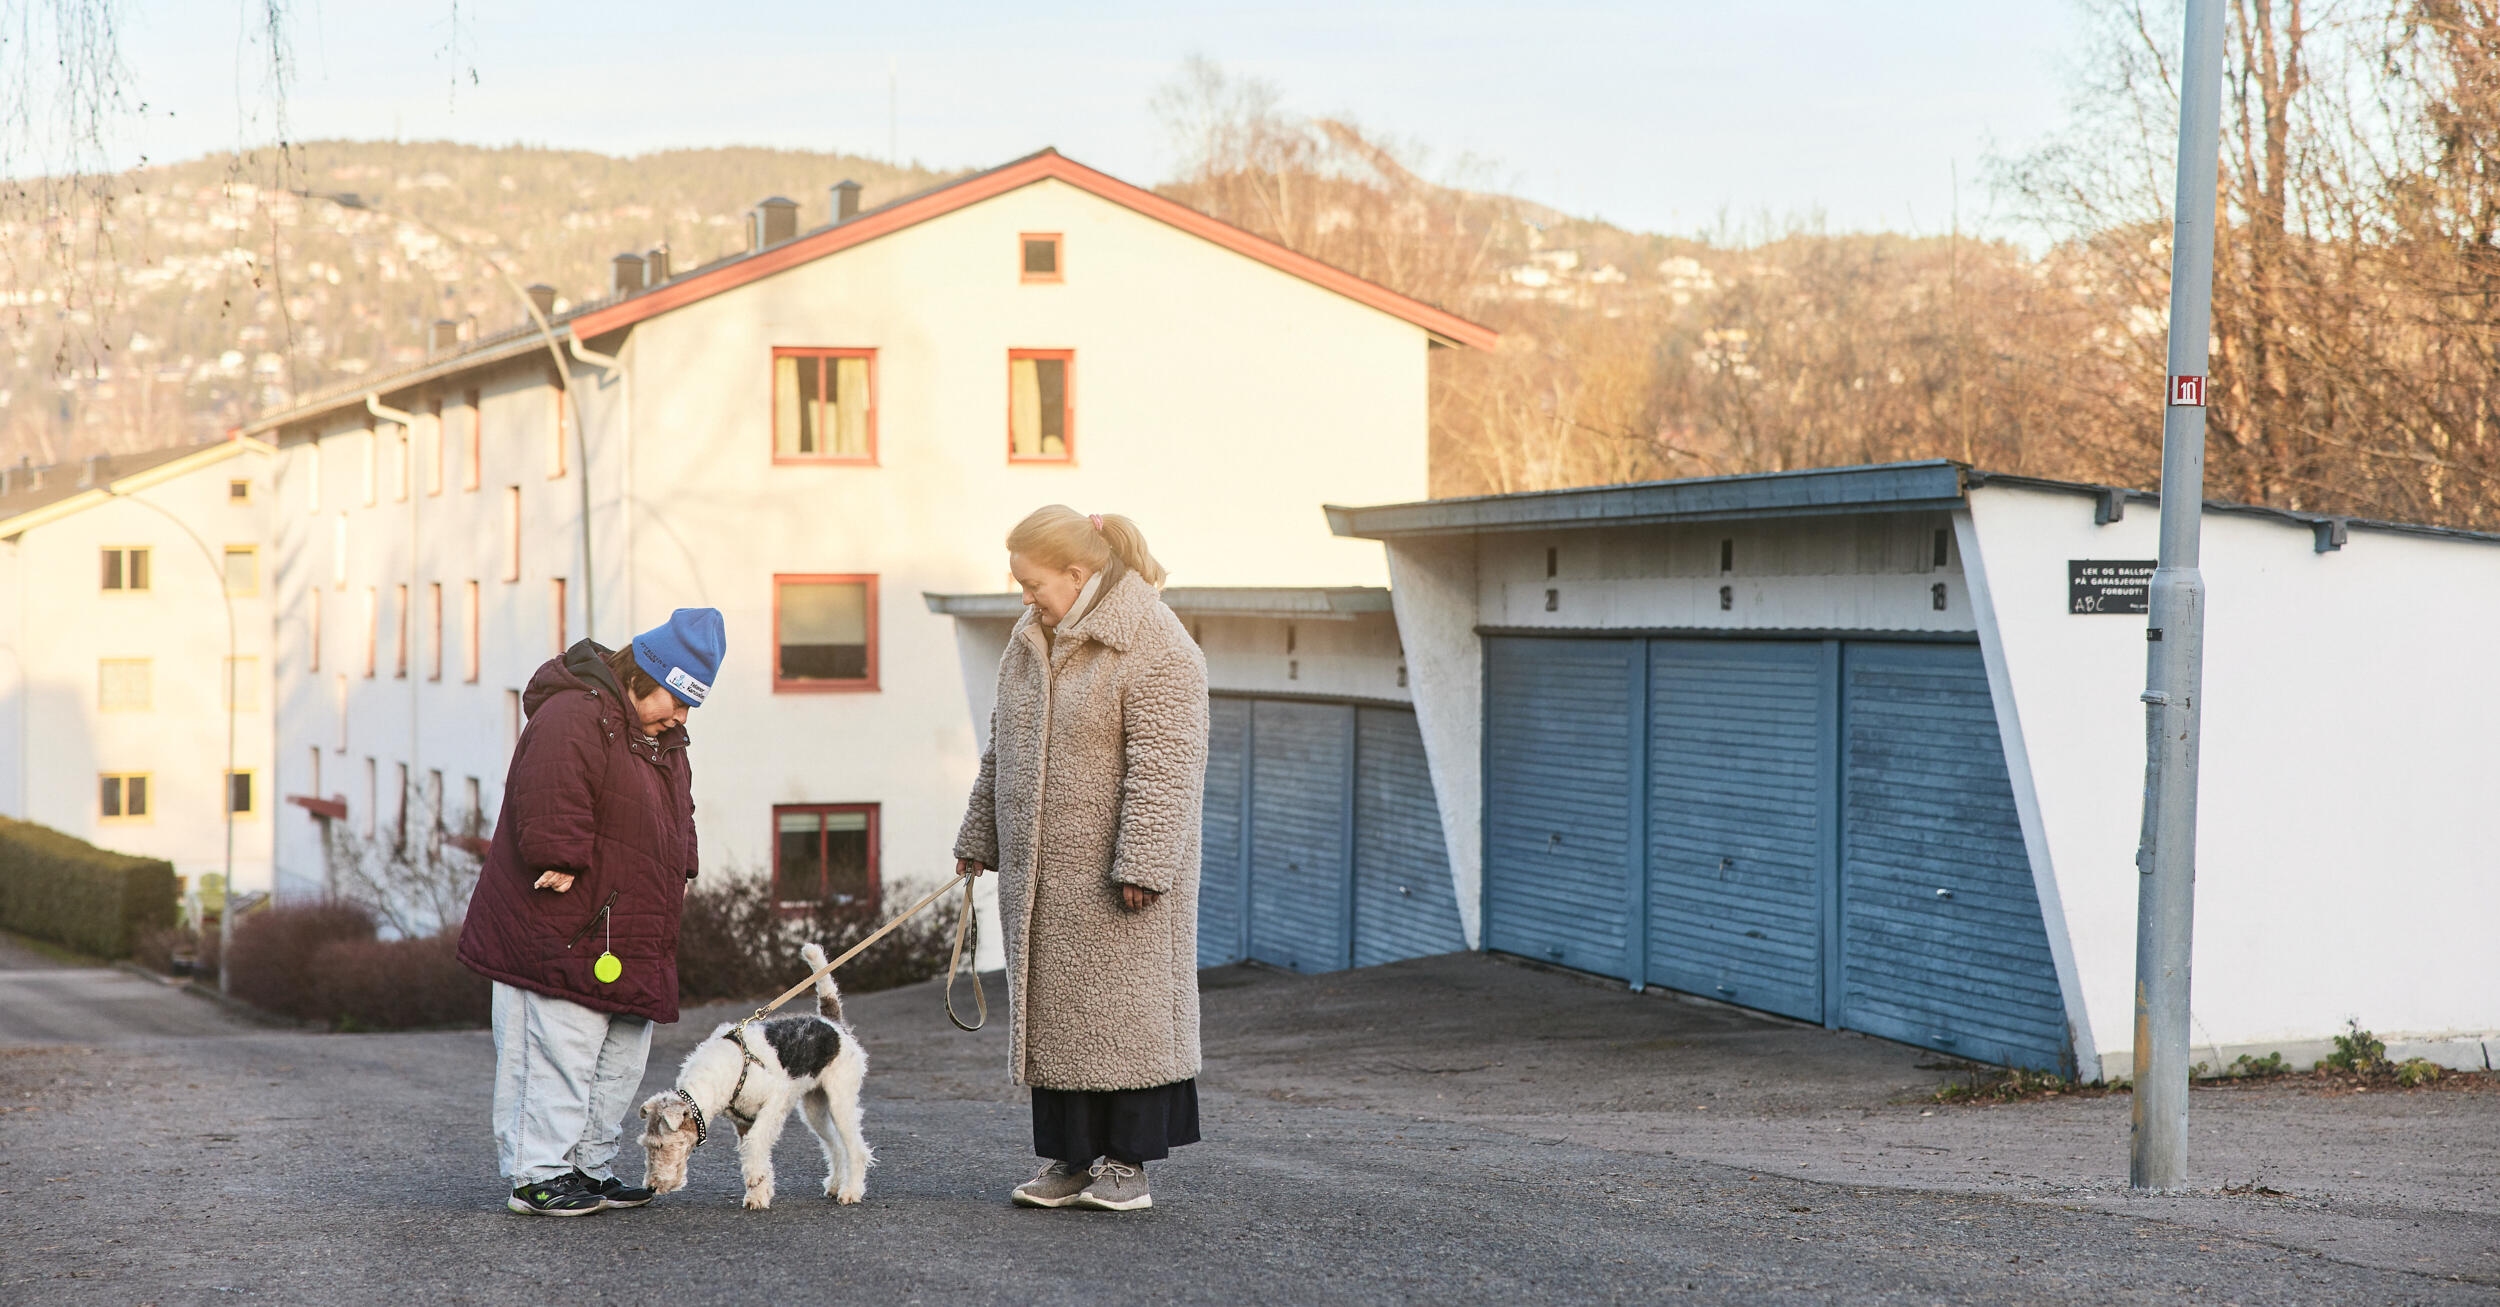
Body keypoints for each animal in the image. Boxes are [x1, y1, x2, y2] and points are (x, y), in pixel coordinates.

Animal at [635, 944, 870, 1214]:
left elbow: (755, 1144)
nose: (651, 1187)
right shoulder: (743, 1122)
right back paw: (834, 1185)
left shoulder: (774, 1103)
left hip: (841, 1101)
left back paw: (850, 1192)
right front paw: (759, 1193)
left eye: (660, 1145)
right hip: (814, 1109)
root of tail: (833, 1023)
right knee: (836, 1146)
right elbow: (755, 1151)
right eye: (646, 1144)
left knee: (856, 1149)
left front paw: (756, 1183)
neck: (720, 1076)